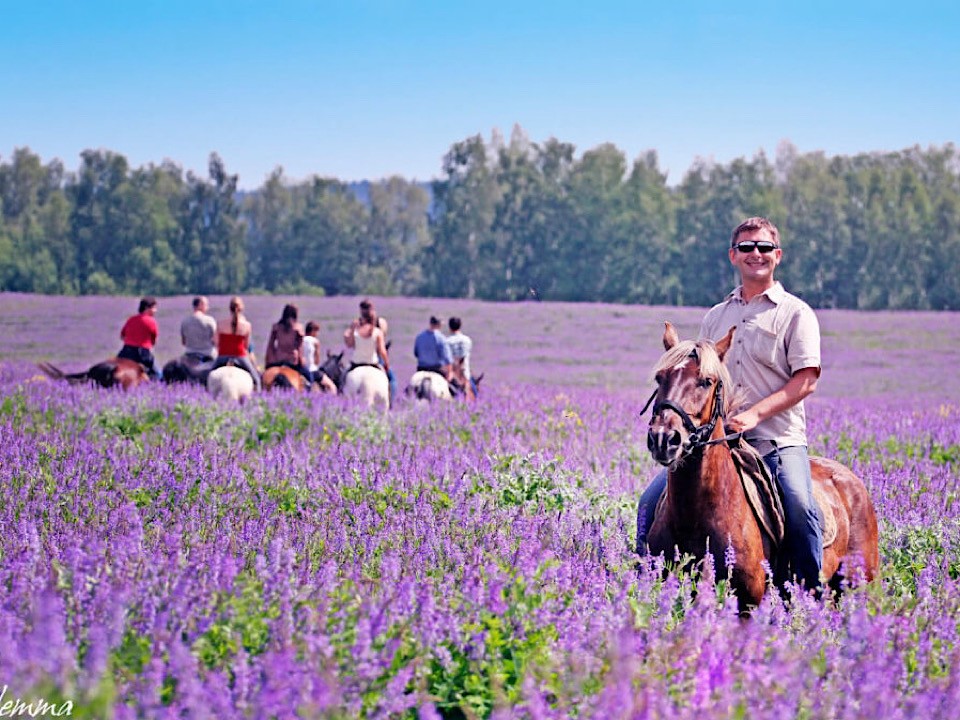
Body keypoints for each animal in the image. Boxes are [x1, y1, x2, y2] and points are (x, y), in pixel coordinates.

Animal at [644, 324, 876, 612]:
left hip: (858, 586)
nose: (663, 438)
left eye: (706, 381)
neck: (695, 516)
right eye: (659, 378)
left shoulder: (748, 604)